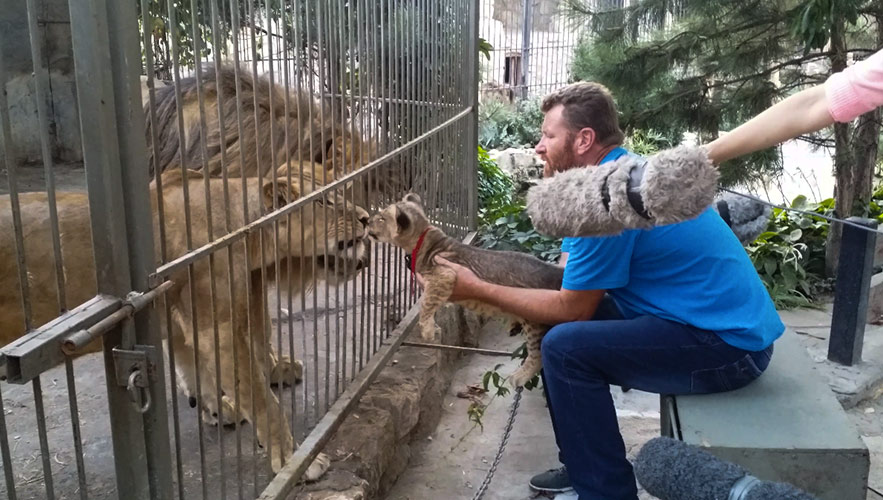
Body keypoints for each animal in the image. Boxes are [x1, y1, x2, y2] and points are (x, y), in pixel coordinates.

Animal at [0, 163, 368, 476]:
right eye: (325, 202)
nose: (366, 218)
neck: (246, 231)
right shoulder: (215, 324)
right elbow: (262, 399)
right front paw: (295, 460)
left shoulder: (181, 322)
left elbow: (195, 369)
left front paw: (216, 409)